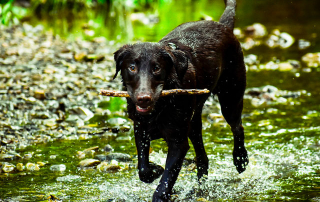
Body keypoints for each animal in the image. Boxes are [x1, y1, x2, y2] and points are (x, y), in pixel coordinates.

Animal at [114, 0, 249, 201]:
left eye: (156, 68)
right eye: (132, 67)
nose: (143, 99)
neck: (159, 108)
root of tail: (223, 25)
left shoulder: (178, 142)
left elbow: (168, 177)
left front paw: (161, 191)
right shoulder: (140, 130)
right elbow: (143, 169)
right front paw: (155, 169)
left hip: (230, 98)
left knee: (237, 127)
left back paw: (240, 160)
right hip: (193, 121)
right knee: (202, 156)